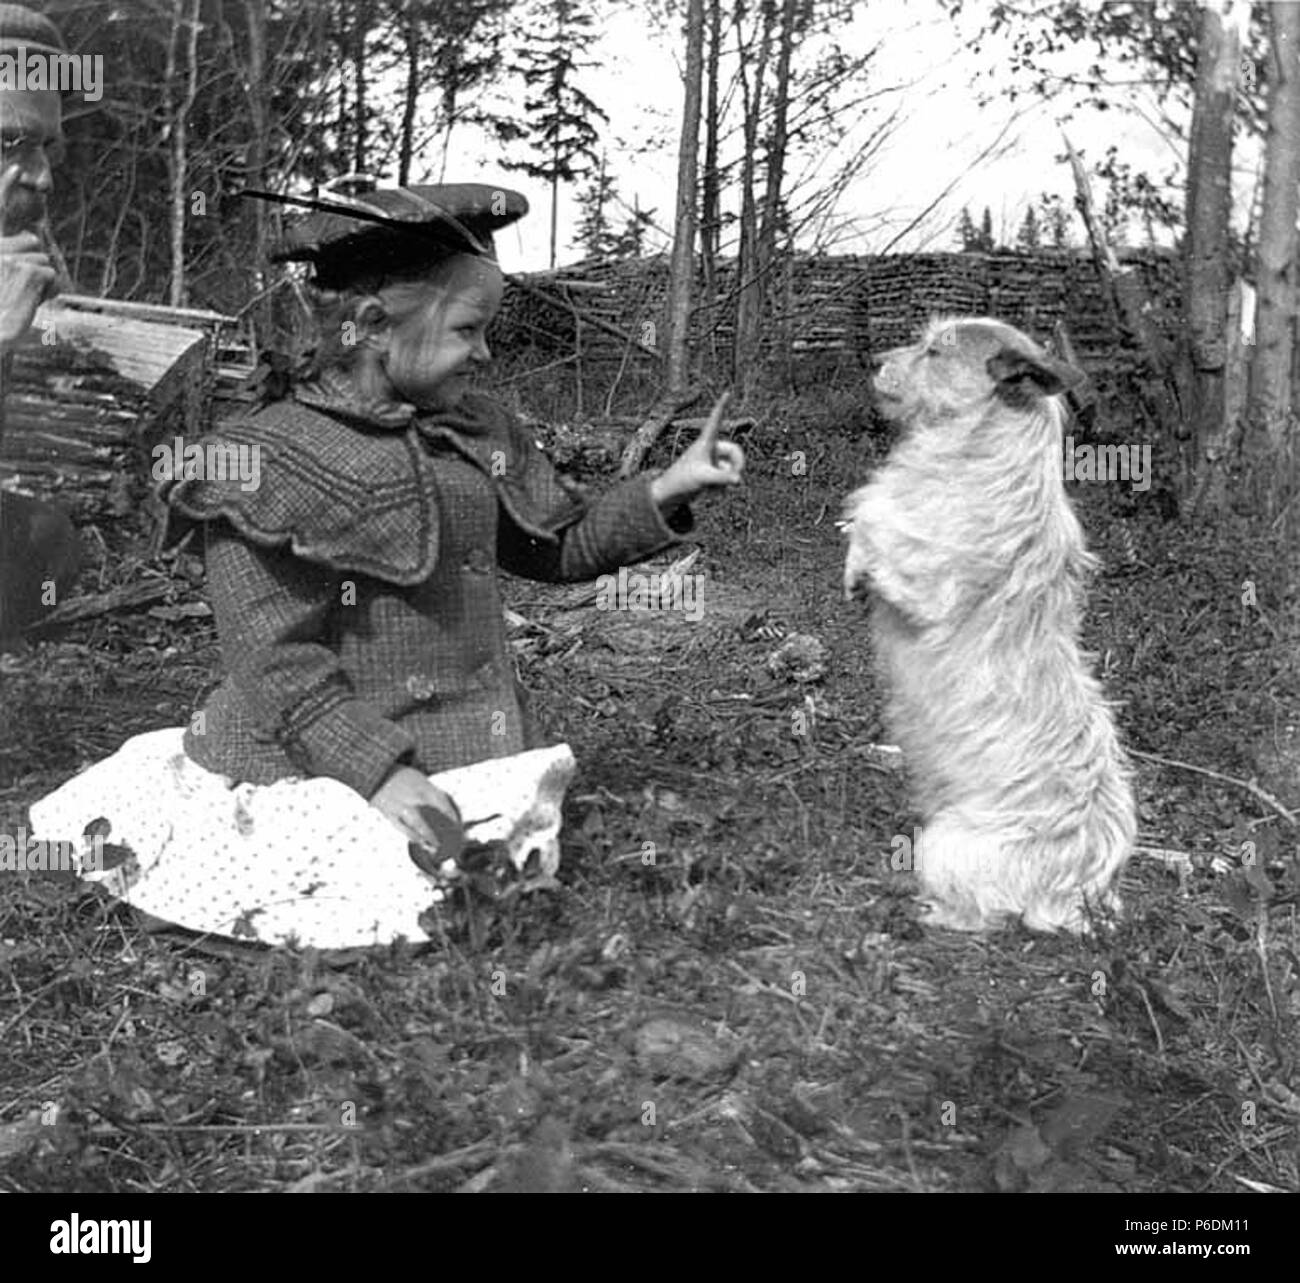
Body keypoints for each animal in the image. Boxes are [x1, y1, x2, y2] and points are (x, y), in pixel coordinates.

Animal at [842, 318, 1138, 930]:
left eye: (935, 351)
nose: (873, 360)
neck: (980, 447)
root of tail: (1083, 893)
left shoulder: (925, 586)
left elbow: (874, 521)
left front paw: (859, 565)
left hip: (943, 844)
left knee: (975, 915)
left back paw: (922, 906)